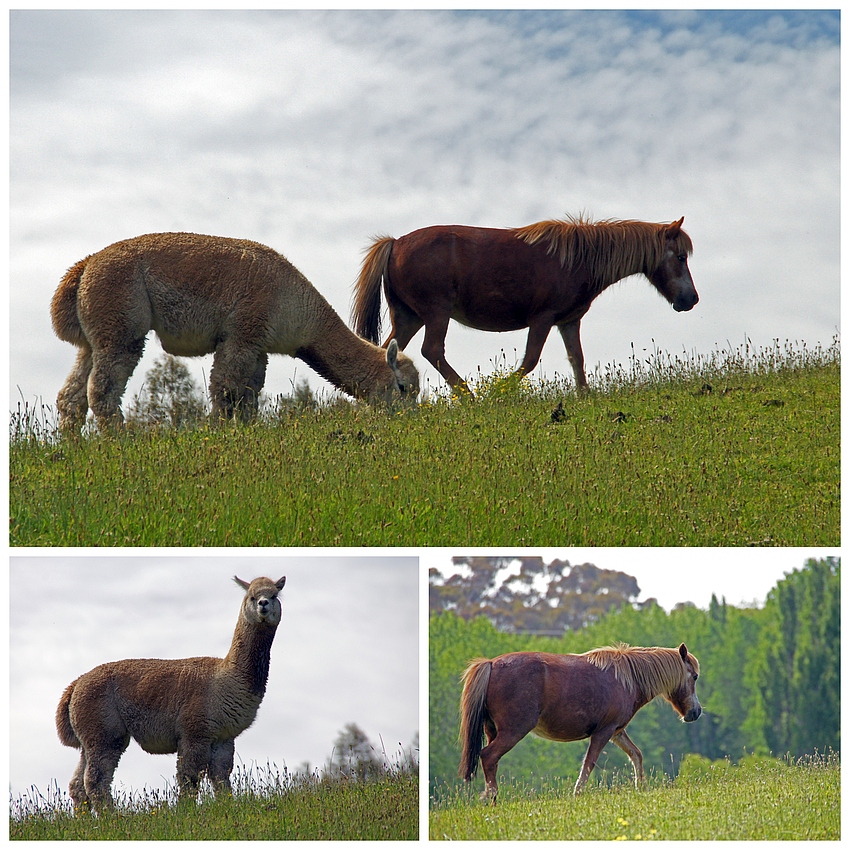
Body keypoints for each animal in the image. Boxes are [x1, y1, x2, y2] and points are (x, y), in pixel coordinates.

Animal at [352, 215, 696, 394]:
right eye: (680, 257)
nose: (691, 299)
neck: (579, 258)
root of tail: (395, 242)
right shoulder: (542, 320)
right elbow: (530, 361)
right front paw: (498, 393)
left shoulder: (568, 322)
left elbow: (577, 360)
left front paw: (585, 398)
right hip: (437, 313)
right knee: (432, 351)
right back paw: (469, 397)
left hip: (409, 317)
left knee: (386, 351)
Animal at [458, 644, 704, 800]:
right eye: (694, 676)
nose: (696, 712)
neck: (628, 678)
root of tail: (491, 664)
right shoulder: (604, 732)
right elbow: (589, 763)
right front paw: (578, 793)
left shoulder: (617, 732)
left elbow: (636, 755)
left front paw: (640, 787)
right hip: (513, 731)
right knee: (489, 756)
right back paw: (492, 799)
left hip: (493, 731)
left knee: (491, 760)